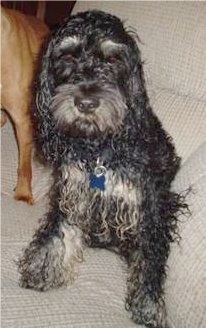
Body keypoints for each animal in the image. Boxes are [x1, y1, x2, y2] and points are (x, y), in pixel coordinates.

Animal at [18, 10, 187, 328]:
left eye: (112, 59)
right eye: (67, 56)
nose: (86, 102)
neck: (98, 148)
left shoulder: (149, 205)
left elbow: (151, 255)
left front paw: (148, 306)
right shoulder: (73, 192)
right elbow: (60, 231)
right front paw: (45, 269)